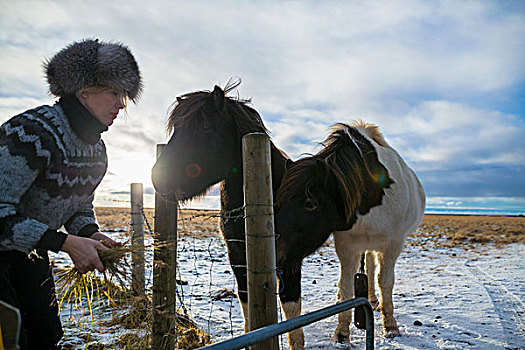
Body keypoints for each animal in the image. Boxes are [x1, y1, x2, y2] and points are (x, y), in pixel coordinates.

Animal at [150, 81, 308, 348]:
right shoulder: (237, 254)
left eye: (205, 127)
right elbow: (246, 302)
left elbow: (291, 309)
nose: (158, 178)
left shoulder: (290, 259)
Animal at [274, 121, 426, 342]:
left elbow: (385, 282)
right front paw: (342, 333)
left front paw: (390, 326)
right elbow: (346, 286)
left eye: (310, 204)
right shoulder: (347, 246)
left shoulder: (392, 245)